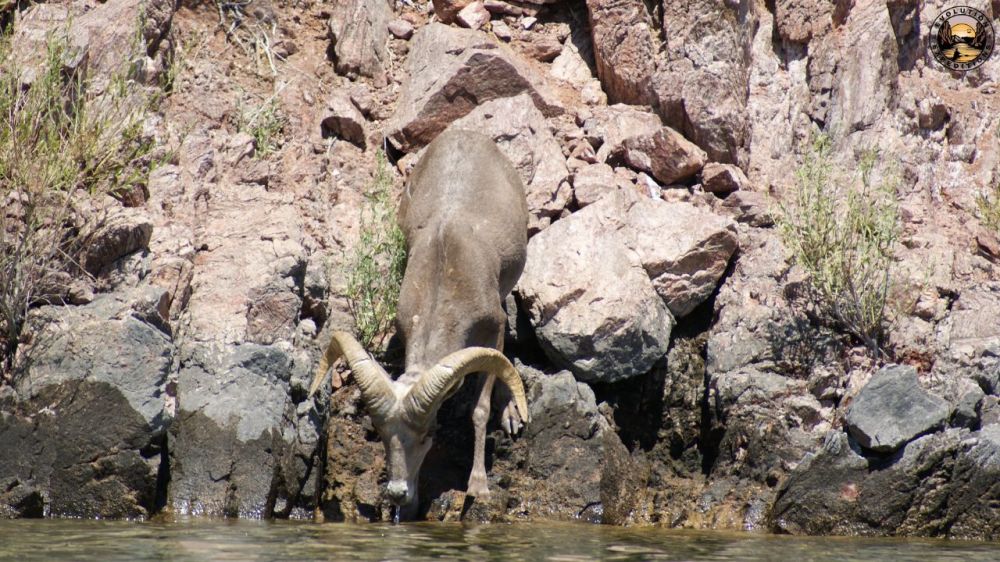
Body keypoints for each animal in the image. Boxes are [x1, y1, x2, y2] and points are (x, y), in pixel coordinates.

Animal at [310, 129, 530, 520]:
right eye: (383, 434)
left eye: (428, 433)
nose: (398, 494)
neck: (446, 274)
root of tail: (466, 134)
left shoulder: (495, 330)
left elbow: (480, 409)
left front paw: (478, 487)